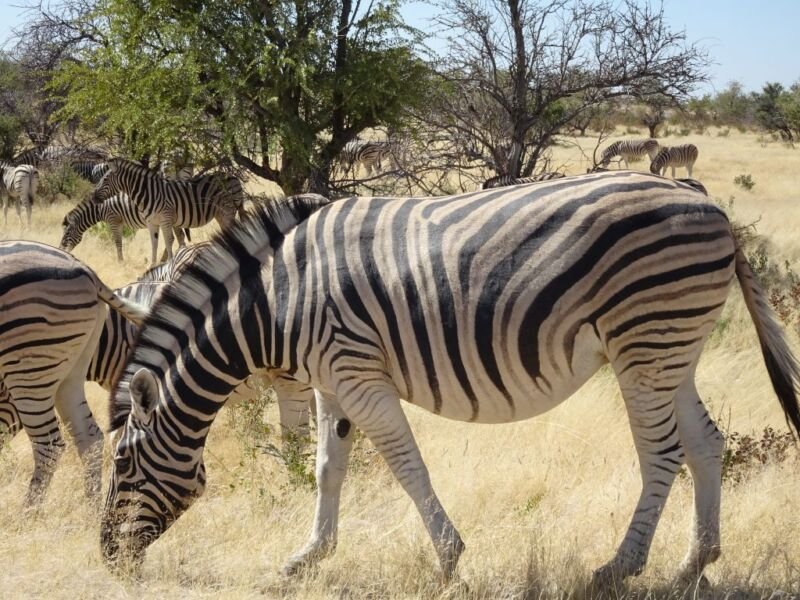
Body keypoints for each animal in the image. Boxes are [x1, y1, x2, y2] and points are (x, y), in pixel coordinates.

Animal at [0, 241, 148, 505]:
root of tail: (85, 269)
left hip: (29, 364)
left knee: (49, 446)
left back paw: (29, 512)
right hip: (68, 376)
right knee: (90, 438)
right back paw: (92, 507)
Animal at [60, 195, 190, 262]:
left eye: (66, 234)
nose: (60, 249)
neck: (100, 208)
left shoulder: (113, 220)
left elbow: (118, 241)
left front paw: (120, 261)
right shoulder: (120, 222)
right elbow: (119, 241)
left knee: (178, 237)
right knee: (180, 237)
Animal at [91, 158, 245, 265]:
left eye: (105, 179)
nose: (92, 197)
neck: (149, 193)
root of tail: (233, 177)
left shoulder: (166, 219)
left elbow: (168, 240)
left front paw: (170, 264)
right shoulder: (152, 222)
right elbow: (154, 243)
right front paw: (152, 266)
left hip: (227, 211)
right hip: (220, 214)